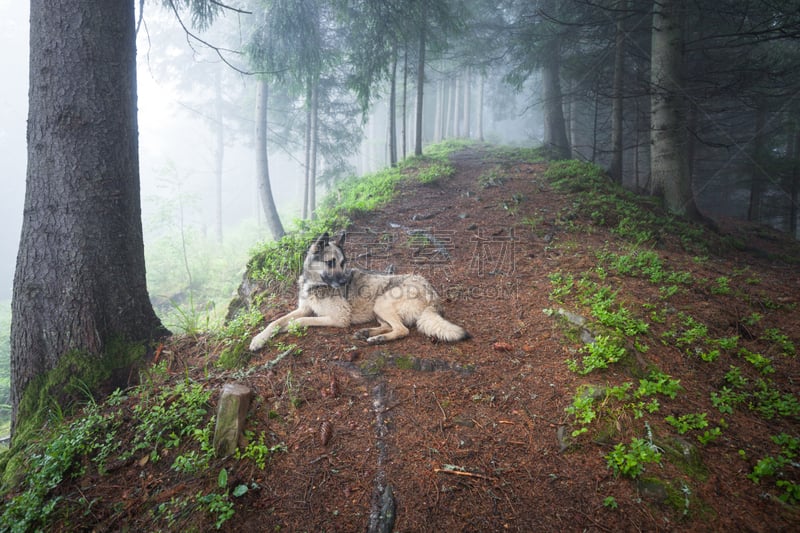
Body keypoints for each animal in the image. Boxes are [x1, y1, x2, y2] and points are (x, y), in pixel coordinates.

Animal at [247, 232, 466, 350]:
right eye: (331, 262)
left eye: (343, 263)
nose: (346, 281)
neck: (315, 284)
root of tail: (434, 298)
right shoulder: (303, 308)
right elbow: (275, 322)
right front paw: (258, 339)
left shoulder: (338, 318)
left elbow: (300, 321)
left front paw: (289, 327)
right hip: (379, 309)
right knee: (389, 326)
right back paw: (368, 333)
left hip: (382, 302)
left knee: (402, 330)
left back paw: (377, 339)